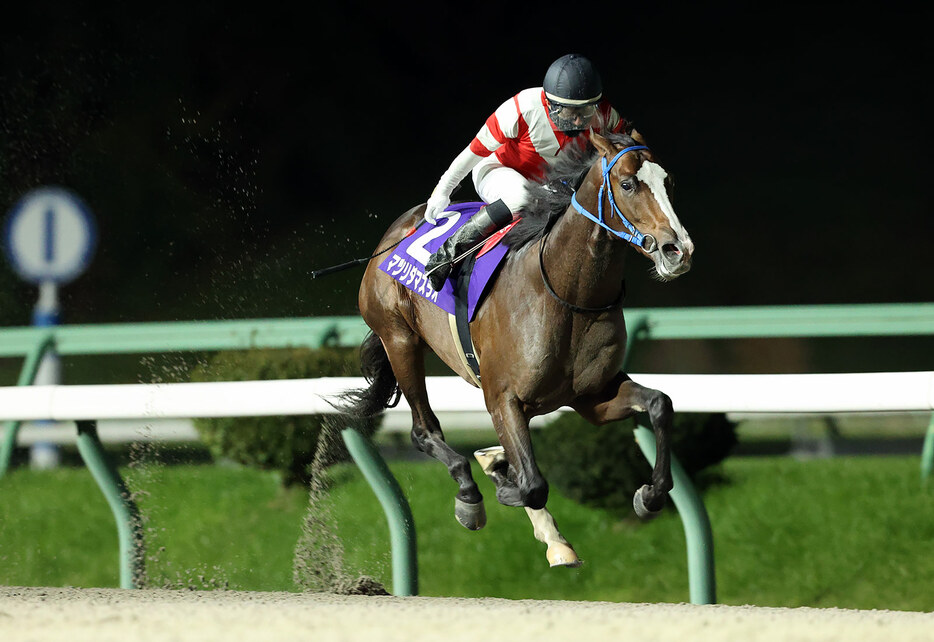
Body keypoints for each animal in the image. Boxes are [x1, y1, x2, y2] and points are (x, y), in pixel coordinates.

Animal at [336, 130, 696, 564]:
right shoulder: (503, 398)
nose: (678, 250)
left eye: (668, 182)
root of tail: (394, 233)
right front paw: (502, 479)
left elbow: (660, 403)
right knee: (423, 430)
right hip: (399, 339)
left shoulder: (592, 397)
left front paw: (651, 493)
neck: (566, 295)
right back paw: (470, 493)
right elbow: (533, 485)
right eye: (627, 184)